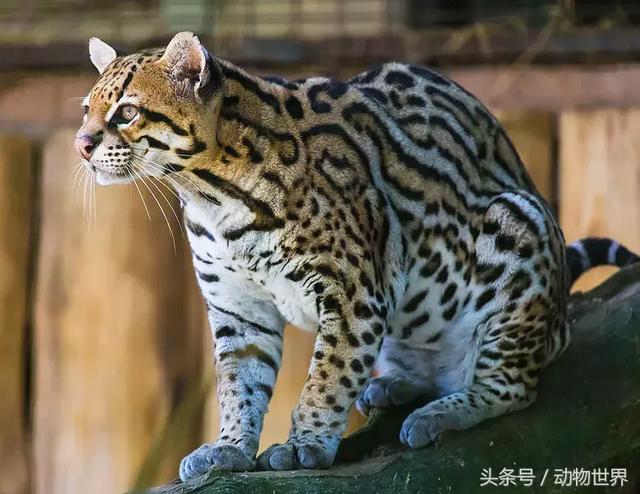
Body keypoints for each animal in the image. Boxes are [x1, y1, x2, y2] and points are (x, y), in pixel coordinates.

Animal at [74, 32, 639, 481]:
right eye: (86, 109)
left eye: (126, 112)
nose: (80, 144)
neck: (211, 197)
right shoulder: (237, 306)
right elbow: (239, 383)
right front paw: (230, 448)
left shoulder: (352, 290)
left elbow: (329, 373)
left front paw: (304, 443)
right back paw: (395, 385)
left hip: (518, 223)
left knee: (513, 387)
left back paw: (443, 412)